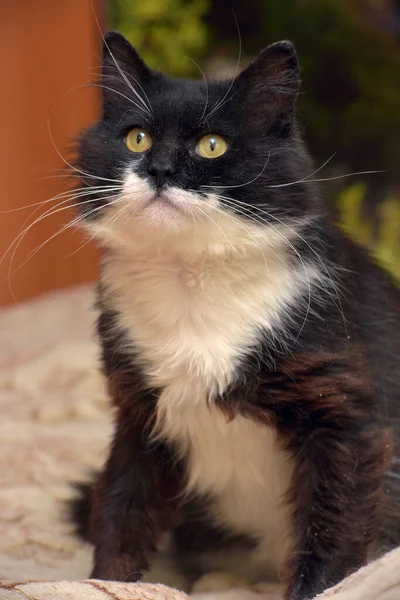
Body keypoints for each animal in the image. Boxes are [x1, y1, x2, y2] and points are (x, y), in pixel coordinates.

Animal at [70, 31, 400, 600]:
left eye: (212, 146)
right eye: (136, 139)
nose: (159, 170)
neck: (192, 283)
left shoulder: (345, 414)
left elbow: (333, 534)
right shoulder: (138, 415)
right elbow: (121, 510)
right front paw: (105, 583)